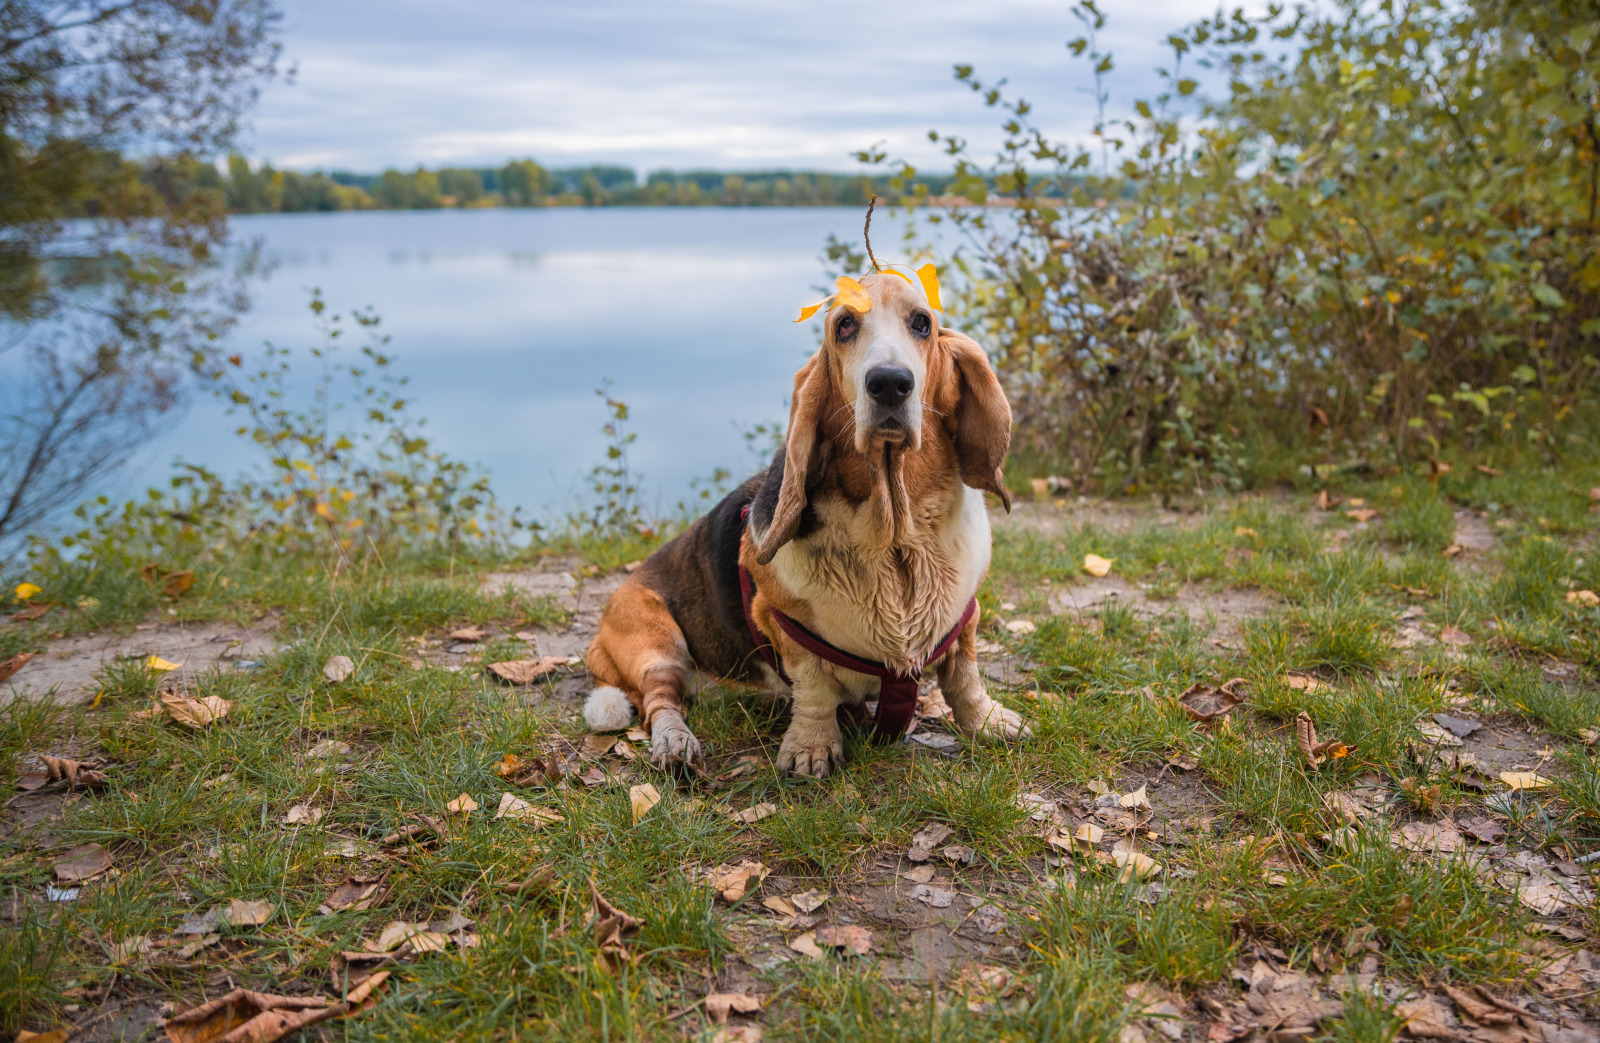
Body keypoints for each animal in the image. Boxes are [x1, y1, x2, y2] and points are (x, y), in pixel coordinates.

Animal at [582, 268, 1030, 774]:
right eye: (844, 326)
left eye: (921, 323)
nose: (889, 382)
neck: (895, 537)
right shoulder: (781, 623)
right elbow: (814, 689)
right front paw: (811, 748)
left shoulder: (965, 619)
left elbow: (965, 677)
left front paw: (987, 721)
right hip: (655, 642)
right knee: (659, 700)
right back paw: (675, 743)